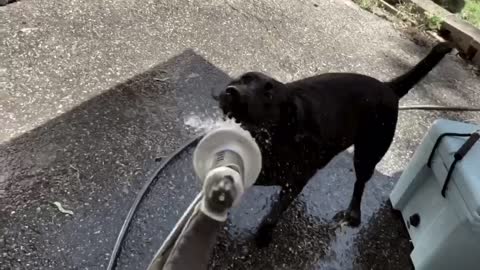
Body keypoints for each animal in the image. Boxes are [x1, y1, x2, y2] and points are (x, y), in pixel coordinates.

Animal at [216, 42, 452, 247]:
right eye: (243, 80)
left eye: (268, 94)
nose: (231, 91)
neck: (279, 137)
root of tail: (389, 88)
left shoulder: (295, 179)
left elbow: (275, 212)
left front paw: (264, 234)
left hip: (366, 155)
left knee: (360, 185)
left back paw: (352, 214)